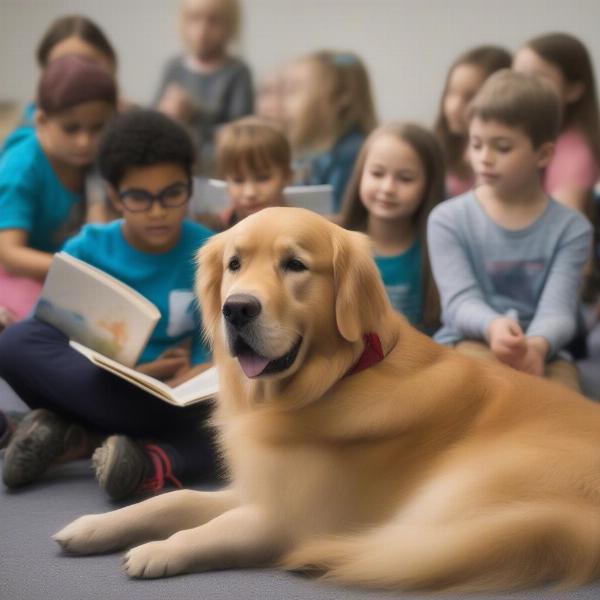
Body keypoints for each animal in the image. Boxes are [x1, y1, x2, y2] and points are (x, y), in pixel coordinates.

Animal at [52, 209, 600, 592]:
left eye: (295, 265)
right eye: (234, 264)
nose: (236, 309)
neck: (335, 379)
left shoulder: (287, 519)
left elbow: (215, 526)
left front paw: (157, 551)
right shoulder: (261, 488)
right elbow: (175, 499)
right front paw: (96, 526)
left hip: (467, 482)